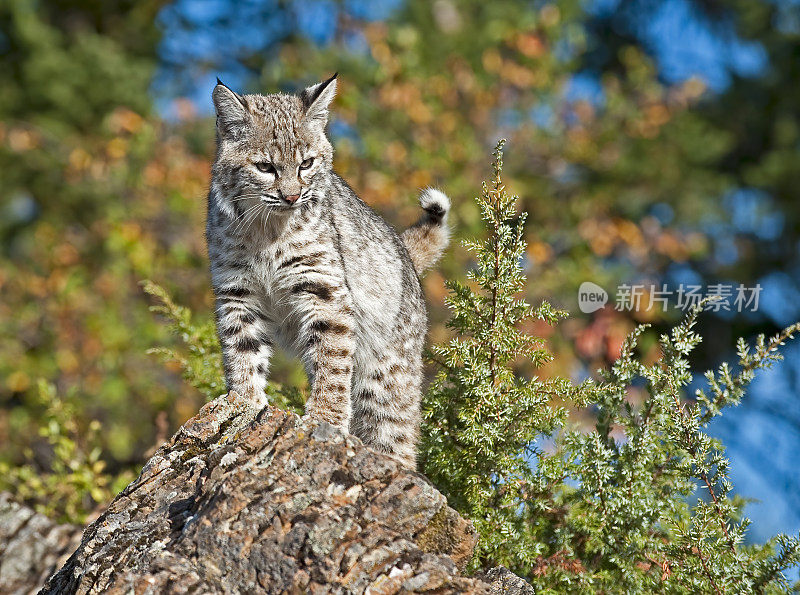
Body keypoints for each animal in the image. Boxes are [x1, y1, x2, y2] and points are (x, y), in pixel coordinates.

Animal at [205, 73, 450, 466]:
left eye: (306, 163)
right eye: (265, 168)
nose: (291, 197)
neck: (266, 228)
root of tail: (405, 254)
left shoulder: (323, 289)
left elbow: (332, 363)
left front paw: (325, 420)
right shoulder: (237, 291)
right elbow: (241, 351)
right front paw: (243, 405)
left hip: (387, 376)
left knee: (396, 433)